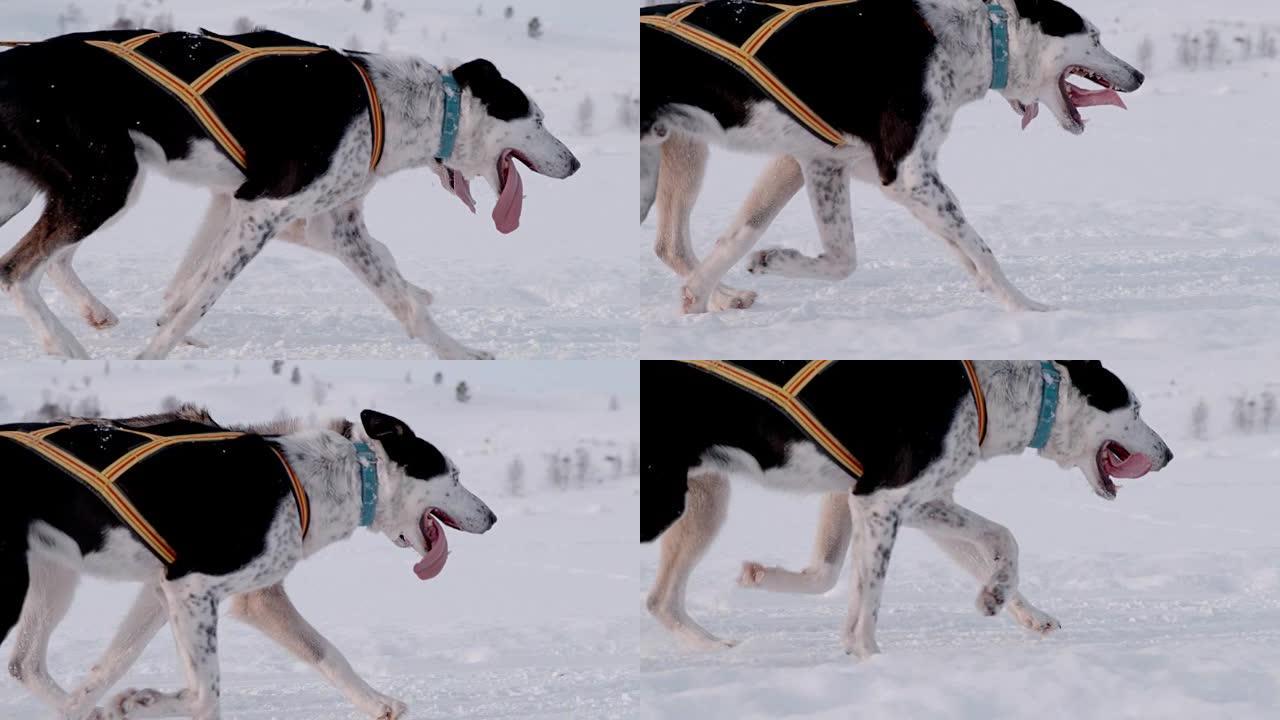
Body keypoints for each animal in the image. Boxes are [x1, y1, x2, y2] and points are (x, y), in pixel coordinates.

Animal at [0, 29, 581, 358]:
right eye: (539, 119)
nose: (575, 163)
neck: (405, 107)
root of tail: (15, 65)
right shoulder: (263, 211)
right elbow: (201, 299)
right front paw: (153, 358)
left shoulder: (309, 218)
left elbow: (402, 299)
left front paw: (459, 354)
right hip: (108, 183)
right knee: (17, 268)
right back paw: (62, 342)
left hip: (51, 190)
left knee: (37, 260)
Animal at [2, 407, 496, 712]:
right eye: (454, 475)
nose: (492, 517)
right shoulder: (203, 588)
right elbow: (206, 694)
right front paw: (143, 703)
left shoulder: (165, 590)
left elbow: (111, 665)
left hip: (54, 577)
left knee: (24, 664)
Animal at [645, 1, 1146, 312]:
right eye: (1096, 37)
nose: (1139, 75)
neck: (974, 39)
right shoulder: (909, 174)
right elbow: (982, 251)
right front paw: (1027, 308)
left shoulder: (824, 163)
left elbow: (795, 246)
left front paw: (732, 278)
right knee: (671, 243)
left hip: (682, 150)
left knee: (670, 244)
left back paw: (722, 296)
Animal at [645, 358, 1172, 655]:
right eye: (1136, 409)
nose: (1168, 455)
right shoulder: (882, 501)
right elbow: (865, 596)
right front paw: (868, 656)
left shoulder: (905, 502)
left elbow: (998, 539)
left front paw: (1007, 602)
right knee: (658, 599)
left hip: (704, 500)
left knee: (661, 601)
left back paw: (714, 648)